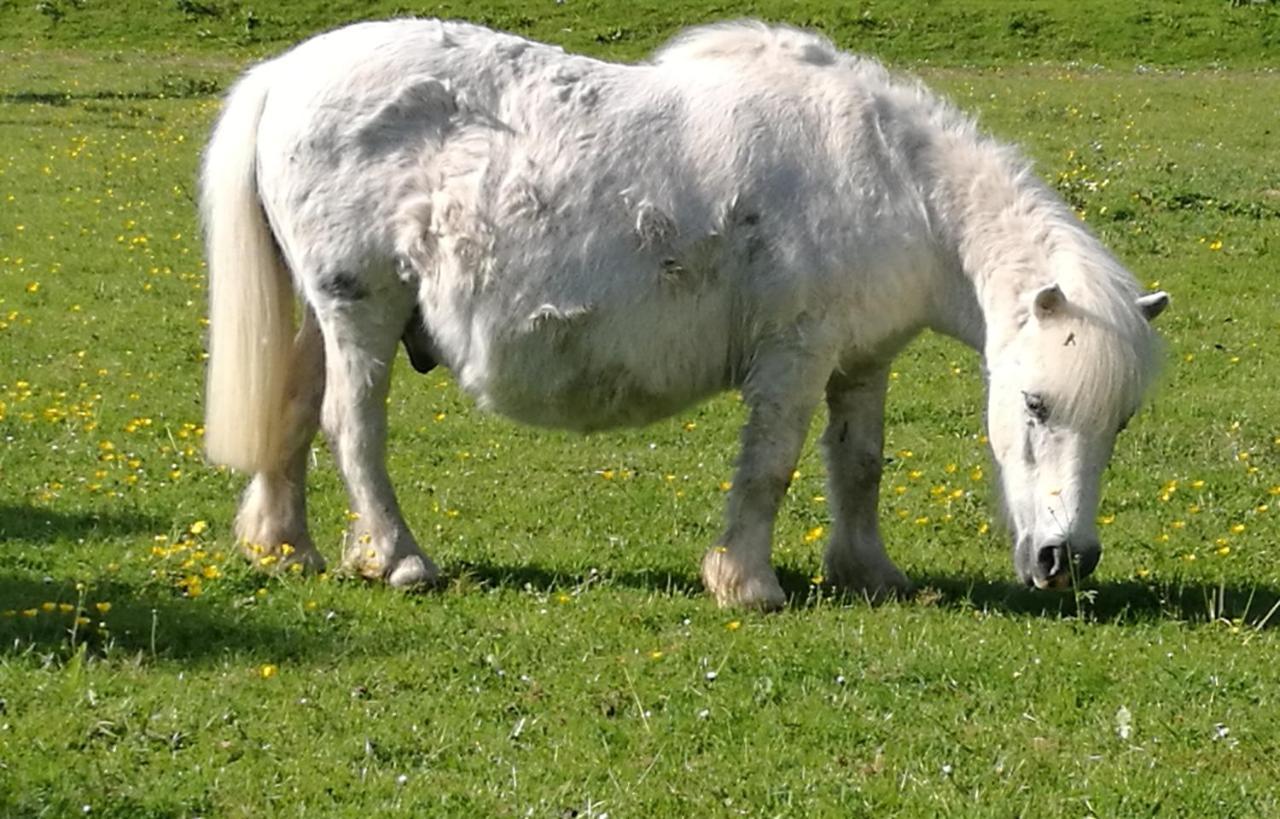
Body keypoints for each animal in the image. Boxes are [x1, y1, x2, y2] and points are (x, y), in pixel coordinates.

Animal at [202, 17, 1172, 609]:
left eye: (1120, 421)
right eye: (1036, 404)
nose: (1064, 561)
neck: (891, 183)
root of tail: (285, 75)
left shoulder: (861, 361)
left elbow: (859, 465)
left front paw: (869, 572)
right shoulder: (795, 356)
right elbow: (771, 466)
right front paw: (747, 581)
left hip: (323, 316)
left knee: (294, 412)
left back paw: (285, 546)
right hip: (362, 314)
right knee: (351, 428)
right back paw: (401, 559)